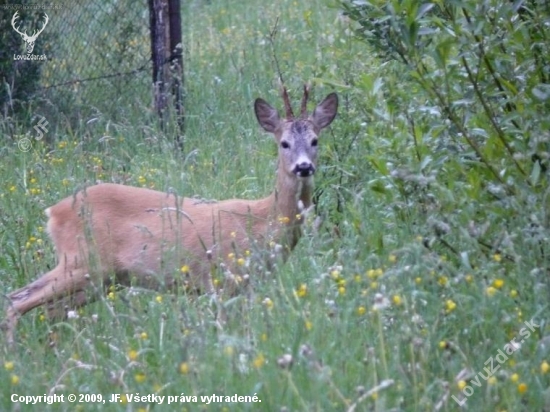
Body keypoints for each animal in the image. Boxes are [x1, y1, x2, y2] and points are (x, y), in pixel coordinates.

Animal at [3, 87, 340, 344]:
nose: (304, 167)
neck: (263, 219)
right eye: (284, 143)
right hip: (81, 261)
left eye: (315, 140)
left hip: (100, 277)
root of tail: (53, 211)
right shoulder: (224, 278)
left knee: (52, 309)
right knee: (17, 299)